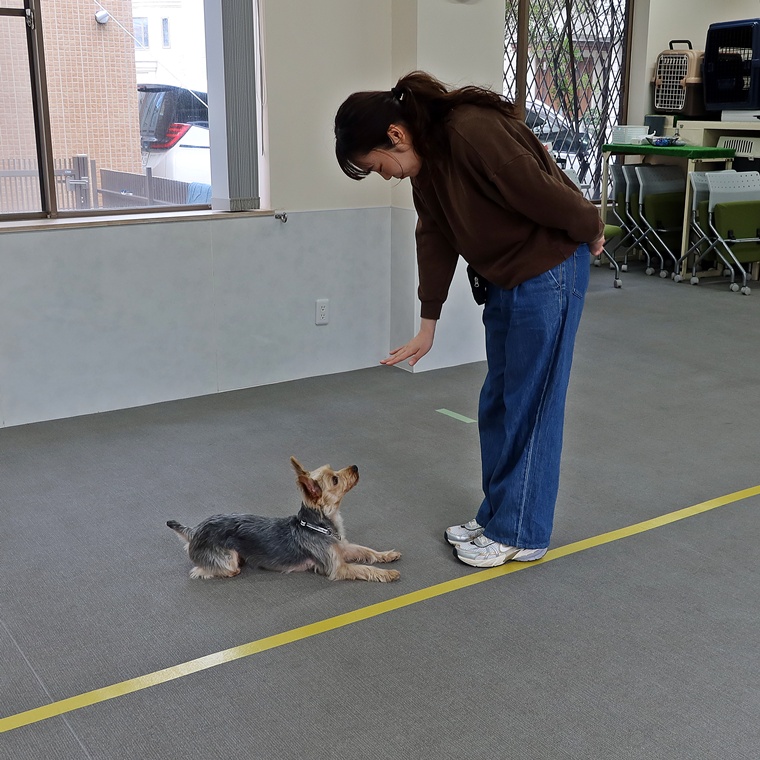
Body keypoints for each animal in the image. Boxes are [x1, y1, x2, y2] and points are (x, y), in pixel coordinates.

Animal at [166, 457, 400, 582]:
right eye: (335, 479)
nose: (355, 467)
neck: (317, 525)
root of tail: (195, 530)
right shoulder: (337, 567)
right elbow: (365, 568)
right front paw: (388, 573)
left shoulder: (342, 547)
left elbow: (366, 551)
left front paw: (387, 555)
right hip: (226, 560)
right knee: (204, 570)